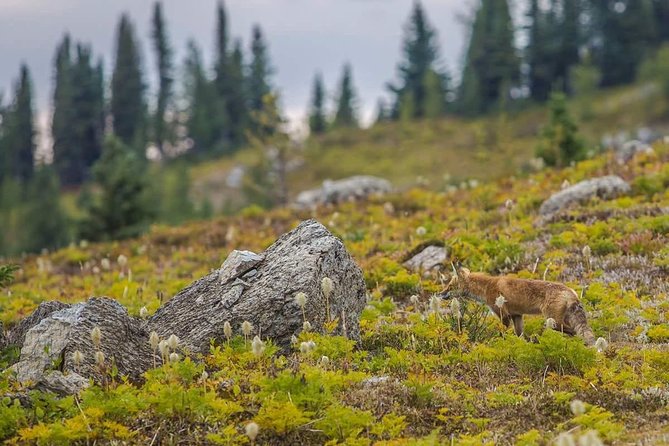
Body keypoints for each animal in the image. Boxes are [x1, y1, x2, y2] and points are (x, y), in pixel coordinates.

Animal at [444, 264, 596, 344]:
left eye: (450, 287)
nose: (440, 294)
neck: (487, 287)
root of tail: (571, 291)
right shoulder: (516, 315)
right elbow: (520, 335)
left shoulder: (503, 314)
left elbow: (503, 332)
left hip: (553, 322)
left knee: (573, 332)